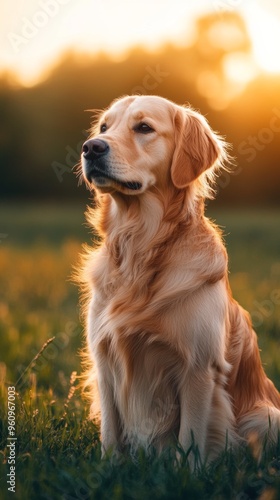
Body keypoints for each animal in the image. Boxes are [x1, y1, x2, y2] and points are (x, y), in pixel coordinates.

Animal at [78, 94, 280, 464]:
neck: (141, 246)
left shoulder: (199, 368)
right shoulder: (103, 359)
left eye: (144, 127)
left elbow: (191, 439)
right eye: (103, 127)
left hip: (266, 416)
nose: (90, 148)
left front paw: (188, 471)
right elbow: (111, 434)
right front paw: (109, 467)